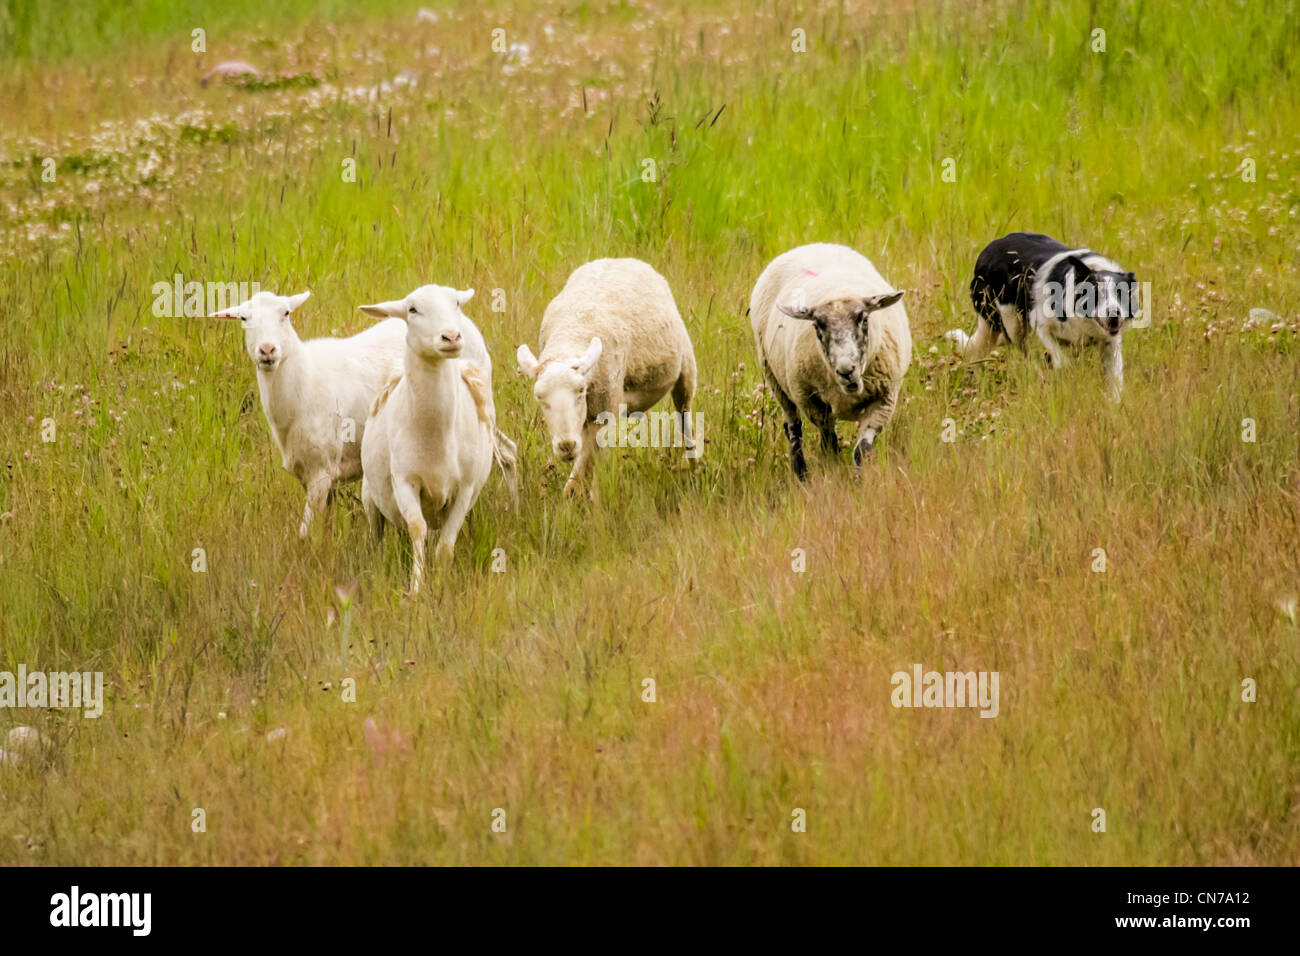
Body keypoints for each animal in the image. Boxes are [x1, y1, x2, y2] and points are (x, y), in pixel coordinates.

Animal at [211, 283, 405, 538]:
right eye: (244, 318)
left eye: (286, 313)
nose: (267, 350)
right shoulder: (310, 473)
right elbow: (326, 525)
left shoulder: (320, 471)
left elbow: (303, 534)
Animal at [361, 282, 501, 590]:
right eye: (412, 310)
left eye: (457, 304)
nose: (451, 337)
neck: (435, 435)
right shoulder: (405, 481)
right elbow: (416, 529)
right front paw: (416, 587)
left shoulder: (465, 488)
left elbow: (445, 546)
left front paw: (440, 584)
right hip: (370, 495)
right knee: (377, 533)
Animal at [514, 261, 702, 502]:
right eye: (539, 397)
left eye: (580, 391)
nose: (566, 446)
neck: (572, 332)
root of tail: (622, 259)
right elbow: (581, 471)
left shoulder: (602, 413)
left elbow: (588, 464)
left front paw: (591, 499)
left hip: (685, 369)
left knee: (685, 419)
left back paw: (694, 467)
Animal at [748, 239, 909, 478]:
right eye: (817, 326)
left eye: (863, 319)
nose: (846, 370)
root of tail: (812, 245)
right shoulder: (812, 402)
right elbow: (828, 444)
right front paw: (832, 470)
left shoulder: (884, 401)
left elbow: (861, 450)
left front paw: (858, 482)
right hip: (776, 380)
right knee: (793, 428)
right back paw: (801, 474)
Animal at [946, 234, 1138, 403]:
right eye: (1096, 294)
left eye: (1121, 294)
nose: (1114, 314)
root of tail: (988, 250)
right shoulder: (1042, 327)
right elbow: (1062, 362)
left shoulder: (1110, 343)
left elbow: (1115, 379)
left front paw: (1115, 404)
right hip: (1013, 324)